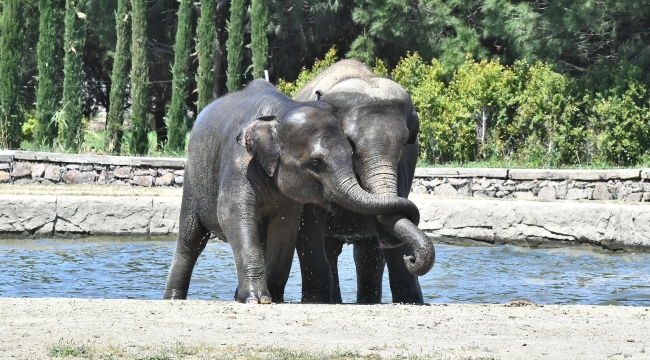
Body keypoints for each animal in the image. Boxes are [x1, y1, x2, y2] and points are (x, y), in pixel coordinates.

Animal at [159, 79, 418, 304]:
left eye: (350, 151)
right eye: (315, 163)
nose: (411, 257)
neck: (281, 112)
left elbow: (285, 227)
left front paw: (272, 296)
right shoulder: (238, 161)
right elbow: (233, 214)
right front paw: (257, 300)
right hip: (193, 179)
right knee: (190, 240)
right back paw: (173, 298)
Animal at [290, 59, 432, 304]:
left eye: (406, 142)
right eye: (350, 142)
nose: (412, 259)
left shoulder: (404, 167)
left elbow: (394, 218)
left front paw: (412, 301)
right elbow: (308, 228)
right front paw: (315, 300)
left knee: (366, 254)